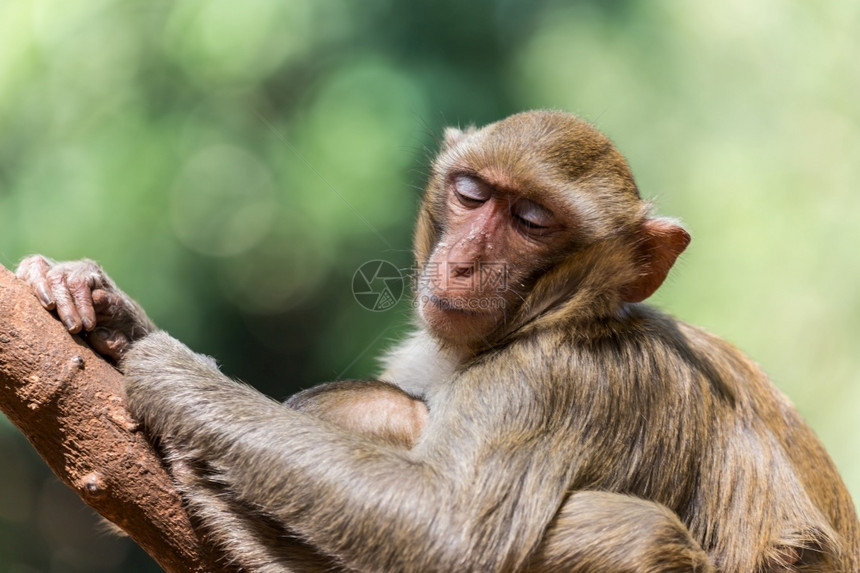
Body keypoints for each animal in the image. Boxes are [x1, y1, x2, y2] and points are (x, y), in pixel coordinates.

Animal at [18, 109, 860, 568]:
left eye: (531, 221)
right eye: (471, 194)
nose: (461, 261)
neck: (564, 316)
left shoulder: (554, 378)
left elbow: (445, 531)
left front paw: (177, 376)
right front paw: (112, 315)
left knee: (638, 532)